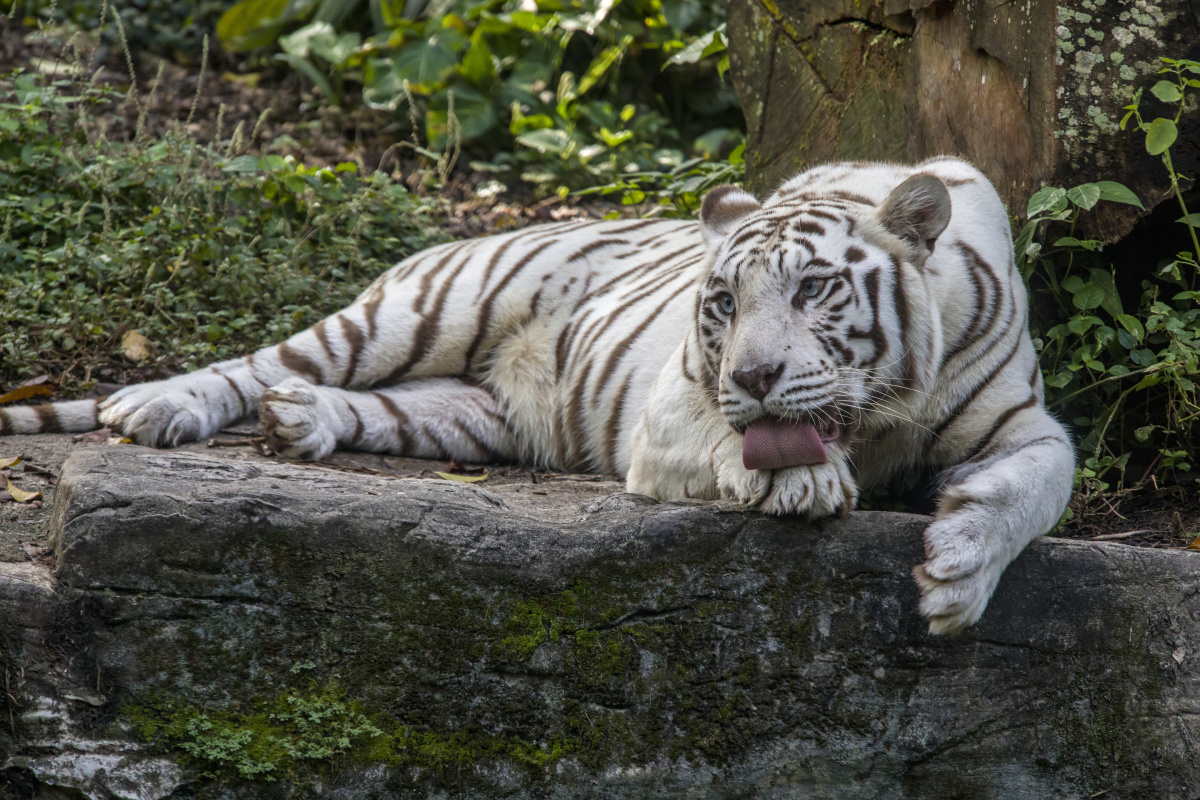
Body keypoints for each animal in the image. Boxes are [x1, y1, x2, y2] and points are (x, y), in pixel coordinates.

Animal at [0, 156, 1074, 634]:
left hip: (471, 416)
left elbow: (1040, 482)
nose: (752, 378)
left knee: (374, 405)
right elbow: (731, 442)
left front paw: (959, 573)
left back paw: (300, 423)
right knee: (262, 361)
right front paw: (800, 484)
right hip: (418, 313)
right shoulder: (673, 409)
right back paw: (156, 407)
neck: (879, 417)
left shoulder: (1024, 420)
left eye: (815, 288)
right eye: (722, 303)